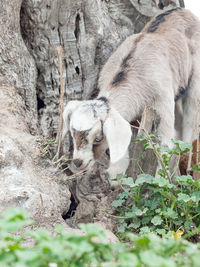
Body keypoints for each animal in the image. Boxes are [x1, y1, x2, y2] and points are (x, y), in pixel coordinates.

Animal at [62, 7, 200, 184]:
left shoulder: (162, 106)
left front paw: (158, 181)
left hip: (194, 83)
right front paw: (117, 178)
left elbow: (163, 146)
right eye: (72, 133)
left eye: (98, 138)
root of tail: (182, 10)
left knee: (190, 128)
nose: (79, 162)